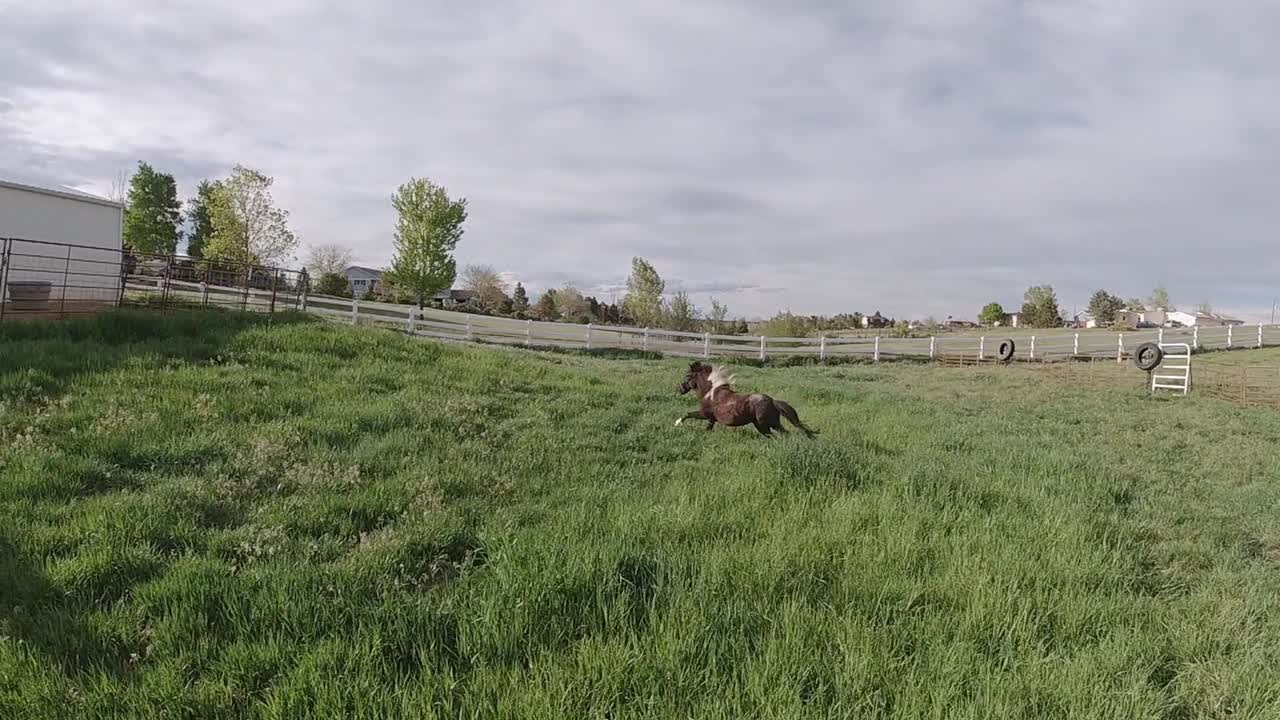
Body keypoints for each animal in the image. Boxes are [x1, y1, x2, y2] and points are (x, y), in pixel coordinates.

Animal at [675, 361, 817, 438]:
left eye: (687, 376)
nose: (680, 389)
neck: (710, 393)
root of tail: (773, 401)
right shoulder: (711, 419)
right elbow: (708, 429)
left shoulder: (704, 414)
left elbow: (687, 414)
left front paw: (677, 423)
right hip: (766, 425)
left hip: (766, 424)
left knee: (780, 435)